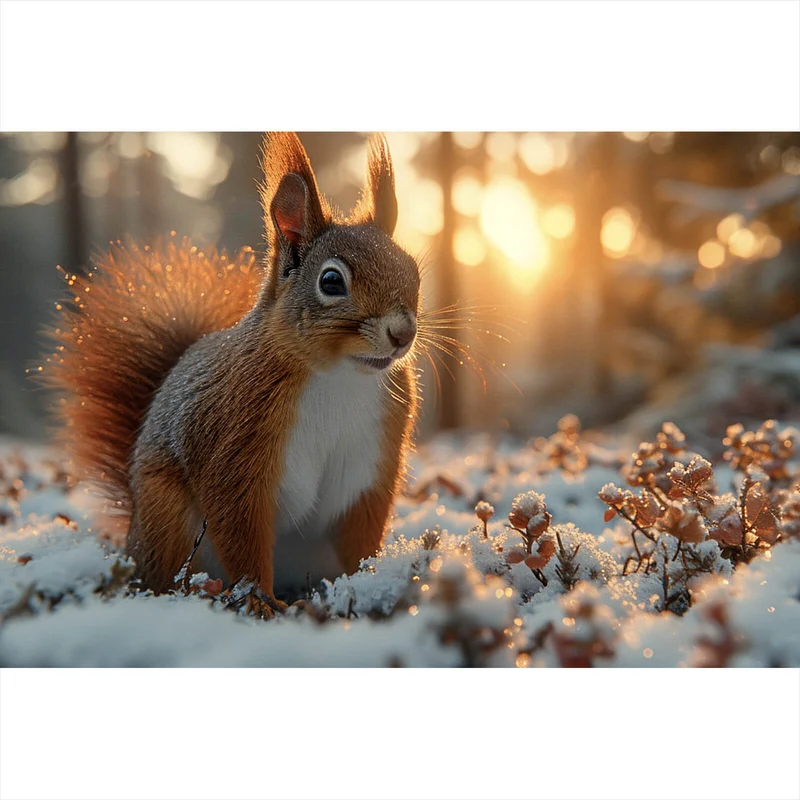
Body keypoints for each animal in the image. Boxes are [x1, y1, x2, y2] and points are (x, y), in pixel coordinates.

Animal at [46, 132, 421, 605]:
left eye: (413, 270)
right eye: (331, 281)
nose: (402, 332)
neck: (340, 377)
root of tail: (133, 542)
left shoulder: (369, 465)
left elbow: (361, 531)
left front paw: (367, 581)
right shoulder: (234, 441)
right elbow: (239, 525)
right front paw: (259, 602)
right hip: (168, 521)